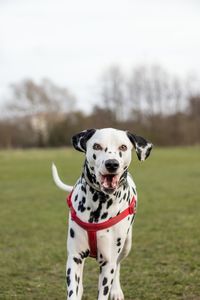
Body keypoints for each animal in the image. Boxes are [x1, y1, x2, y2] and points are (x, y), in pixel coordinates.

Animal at [51, 127, 152, 298]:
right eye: (97, 146)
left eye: (123, 147)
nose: (112, 164)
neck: (99, 203)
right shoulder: (74, 257)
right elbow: (72, 291)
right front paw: (76, 291)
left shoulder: (107, 263)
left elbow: (106, 284)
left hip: (126, 245)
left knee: (118, 265)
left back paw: (116, 291)